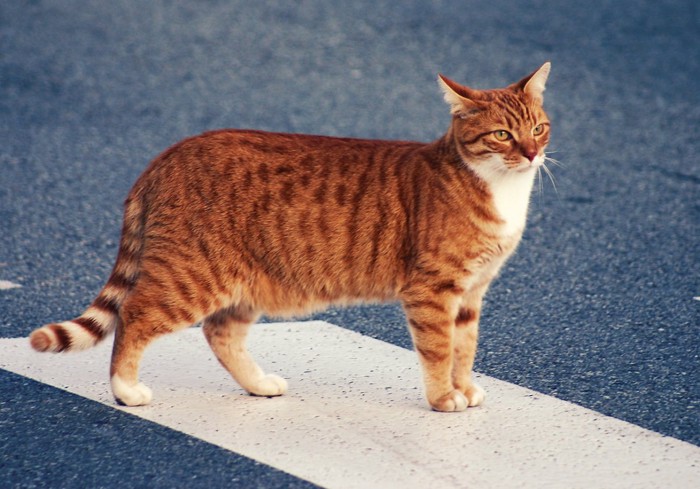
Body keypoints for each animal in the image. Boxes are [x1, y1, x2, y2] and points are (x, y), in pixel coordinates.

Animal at [28, 62, 552, 412]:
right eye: (502, 135)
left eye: (539, 128)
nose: (531, 154)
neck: (499, 189)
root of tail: (167, 155)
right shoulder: (434, 289)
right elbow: (440, 350)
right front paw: (445, 398)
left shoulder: (472, 291)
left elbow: (465, 348)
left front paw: (463, 388)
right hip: (191, 277)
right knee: (135, 315)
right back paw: (125, 389)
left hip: (241, 282)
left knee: (220, 332)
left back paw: (259, 384)